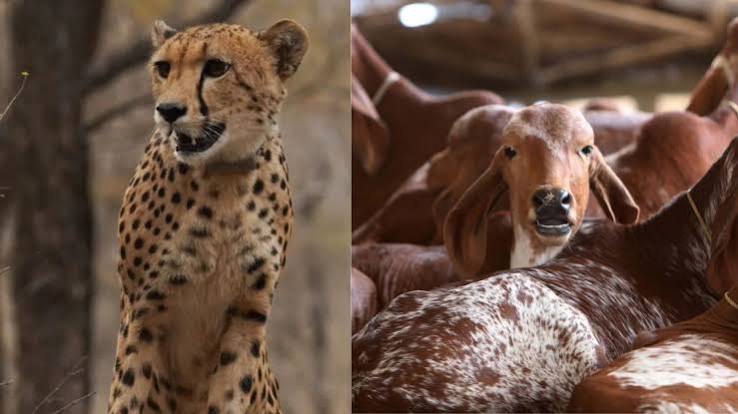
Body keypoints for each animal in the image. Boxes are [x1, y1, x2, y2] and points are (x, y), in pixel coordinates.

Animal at [107, 18, 308, 414]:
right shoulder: (141, 313)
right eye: (163, 68)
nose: (168, 110)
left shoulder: (246, 317)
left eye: (216, 68)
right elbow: (128, 393)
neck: (223, 176)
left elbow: (232, 391)